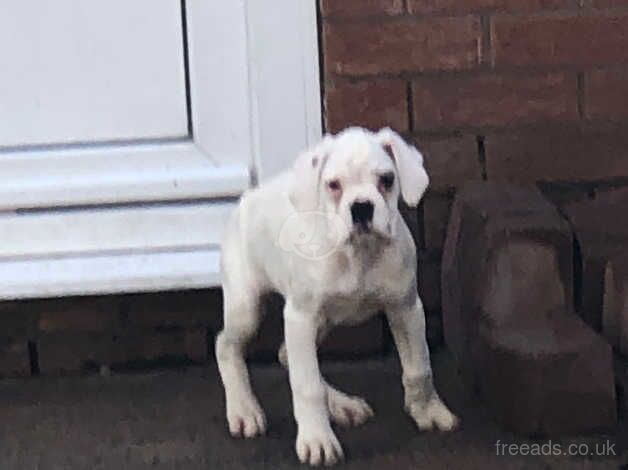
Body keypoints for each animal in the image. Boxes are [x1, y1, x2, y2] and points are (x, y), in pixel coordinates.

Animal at [216, 126, 456, 464]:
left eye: (387, 179)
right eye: (333, 185)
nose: (361, 207)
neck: (359, 254)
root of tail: (247, 198)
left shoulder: (406, 308)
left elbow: (419, 367)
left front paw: (428, 411)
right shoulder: (300, 317)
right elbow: (306, 385)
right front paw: (317, 439)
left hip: (323, 322)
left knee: (287, 355)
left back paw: (341, 405)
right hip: (246, 309)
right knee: (227, 346)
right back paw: (244, 409)